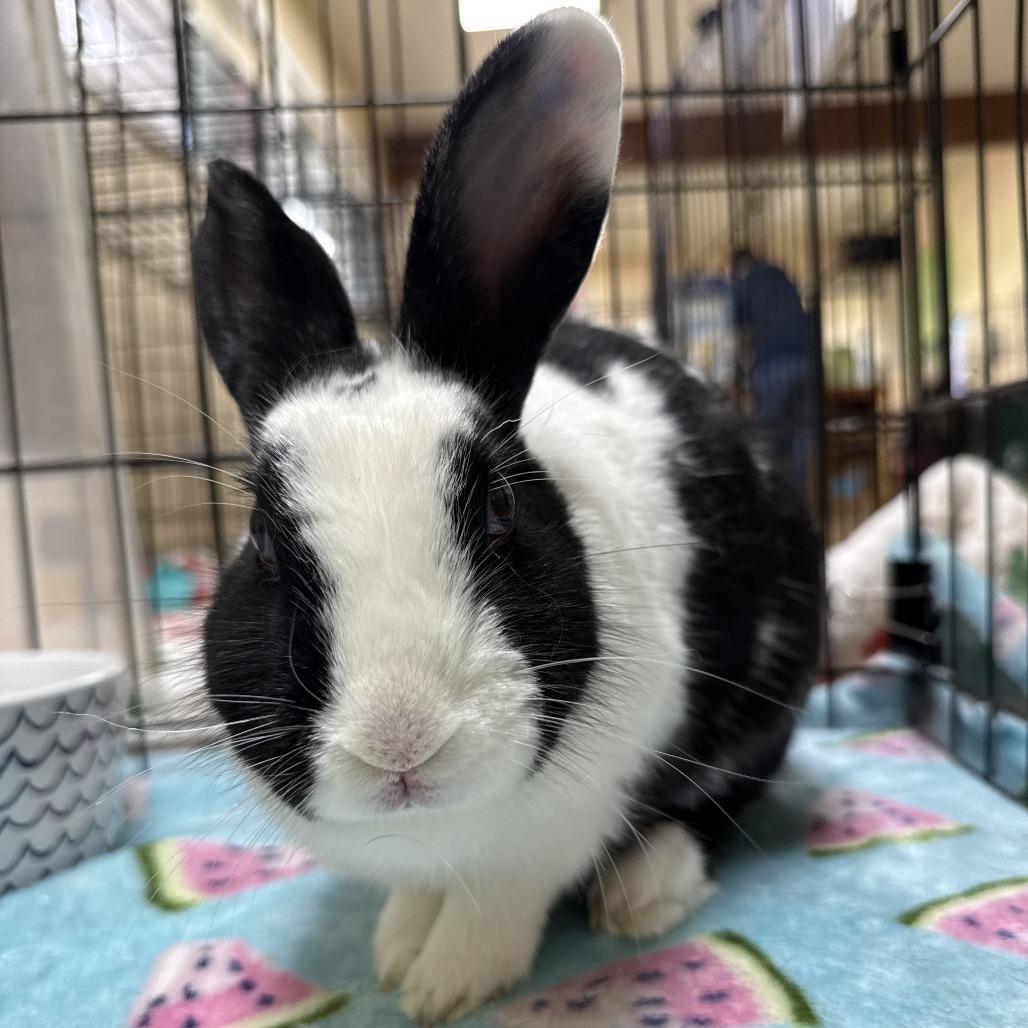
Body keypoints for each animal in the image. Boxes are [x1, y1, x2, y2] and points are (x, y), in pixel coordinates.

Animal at [193, 8, 821, 1024]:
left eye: (499, 512)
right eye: (259, 541)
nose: (399, 742)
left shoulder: (561, 828)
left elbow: (497, 905)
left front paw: (443, 986)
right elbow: (420, 899)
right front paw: (396, 950)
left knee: (719, 806)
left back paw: (645, 890)